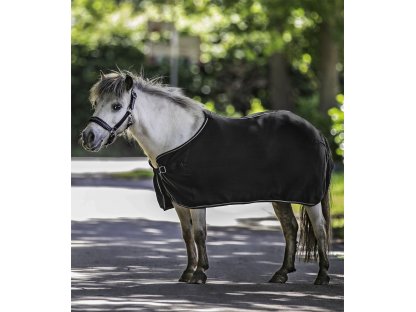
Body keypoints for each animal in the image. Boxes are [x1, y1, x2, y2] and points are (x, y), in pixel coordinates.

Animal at [82, 70, 332, 286]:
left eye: (117, 106)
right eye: (96, 104)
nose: (88, 137)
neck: (175, 138)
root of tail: (317, 133)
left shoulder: (195, 199)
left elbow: (199, 234)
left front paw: (200, 273)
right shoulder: (180, 201)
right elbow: (187, 235)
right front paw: (188, 272)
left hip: (310, 198)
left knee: (320, 229)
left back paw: (322, 276)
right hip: (280, 197)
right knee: (290, 228)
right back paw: (281, 274)